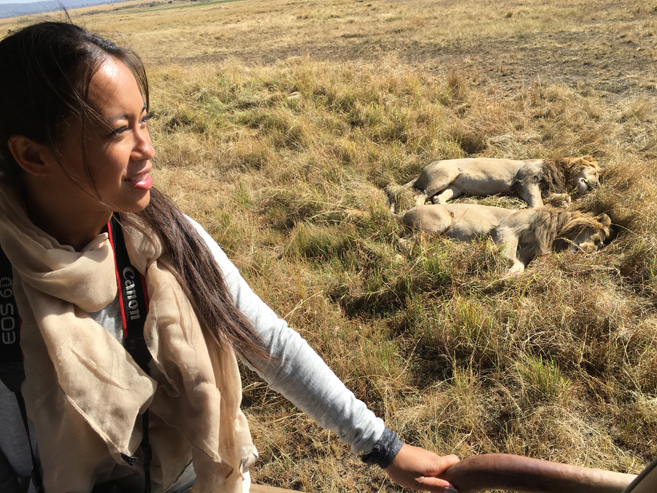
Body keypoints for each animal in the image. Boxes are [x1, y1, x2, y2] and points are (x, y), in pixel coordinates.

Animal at [390, 200, 608, 272]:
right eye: (597, 241)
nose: (590, 253)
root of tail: (403, 213)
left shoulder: (526, 252)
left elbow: (519, 266)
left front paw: (509, 275)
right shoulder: (506, 229)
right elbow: (507, 254)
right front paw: (495, 263)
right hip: (440, 220)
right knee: (404, 242)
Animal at [408, 155, 604, 207]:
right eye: (595, 172)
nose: (597, 186)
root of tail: (421, 171)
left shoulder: (537, 190)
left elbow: (565, 196)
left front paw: (564, 202)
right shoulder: (527, 181)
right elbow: (538, 204)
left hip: (455, 188)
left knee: (437, 198)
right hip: (444, 176)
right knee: (419, 197)